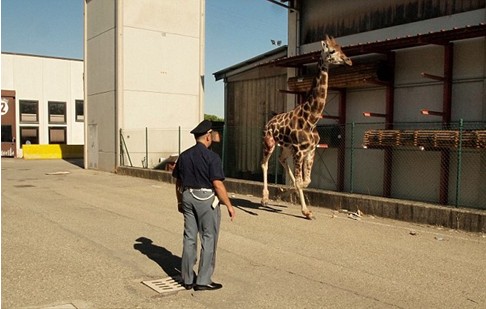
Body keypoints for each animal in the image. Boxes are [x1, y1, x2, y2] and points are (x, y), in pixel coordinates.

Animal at [260, 35, 352, 219]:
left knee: (281, 160)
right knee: (264, 164)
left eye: (342, 48)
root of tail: (269, 121)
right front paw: (305, 210)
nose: (348, 60)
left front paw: (288, 196)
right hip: (270, 142)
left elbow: (305, 181)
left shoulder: (310, 151)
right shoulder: (299, 151)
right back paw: (265, 197)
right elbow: (301, 182)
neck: (311, 119)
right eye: (332, 51)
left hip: (287, 148)